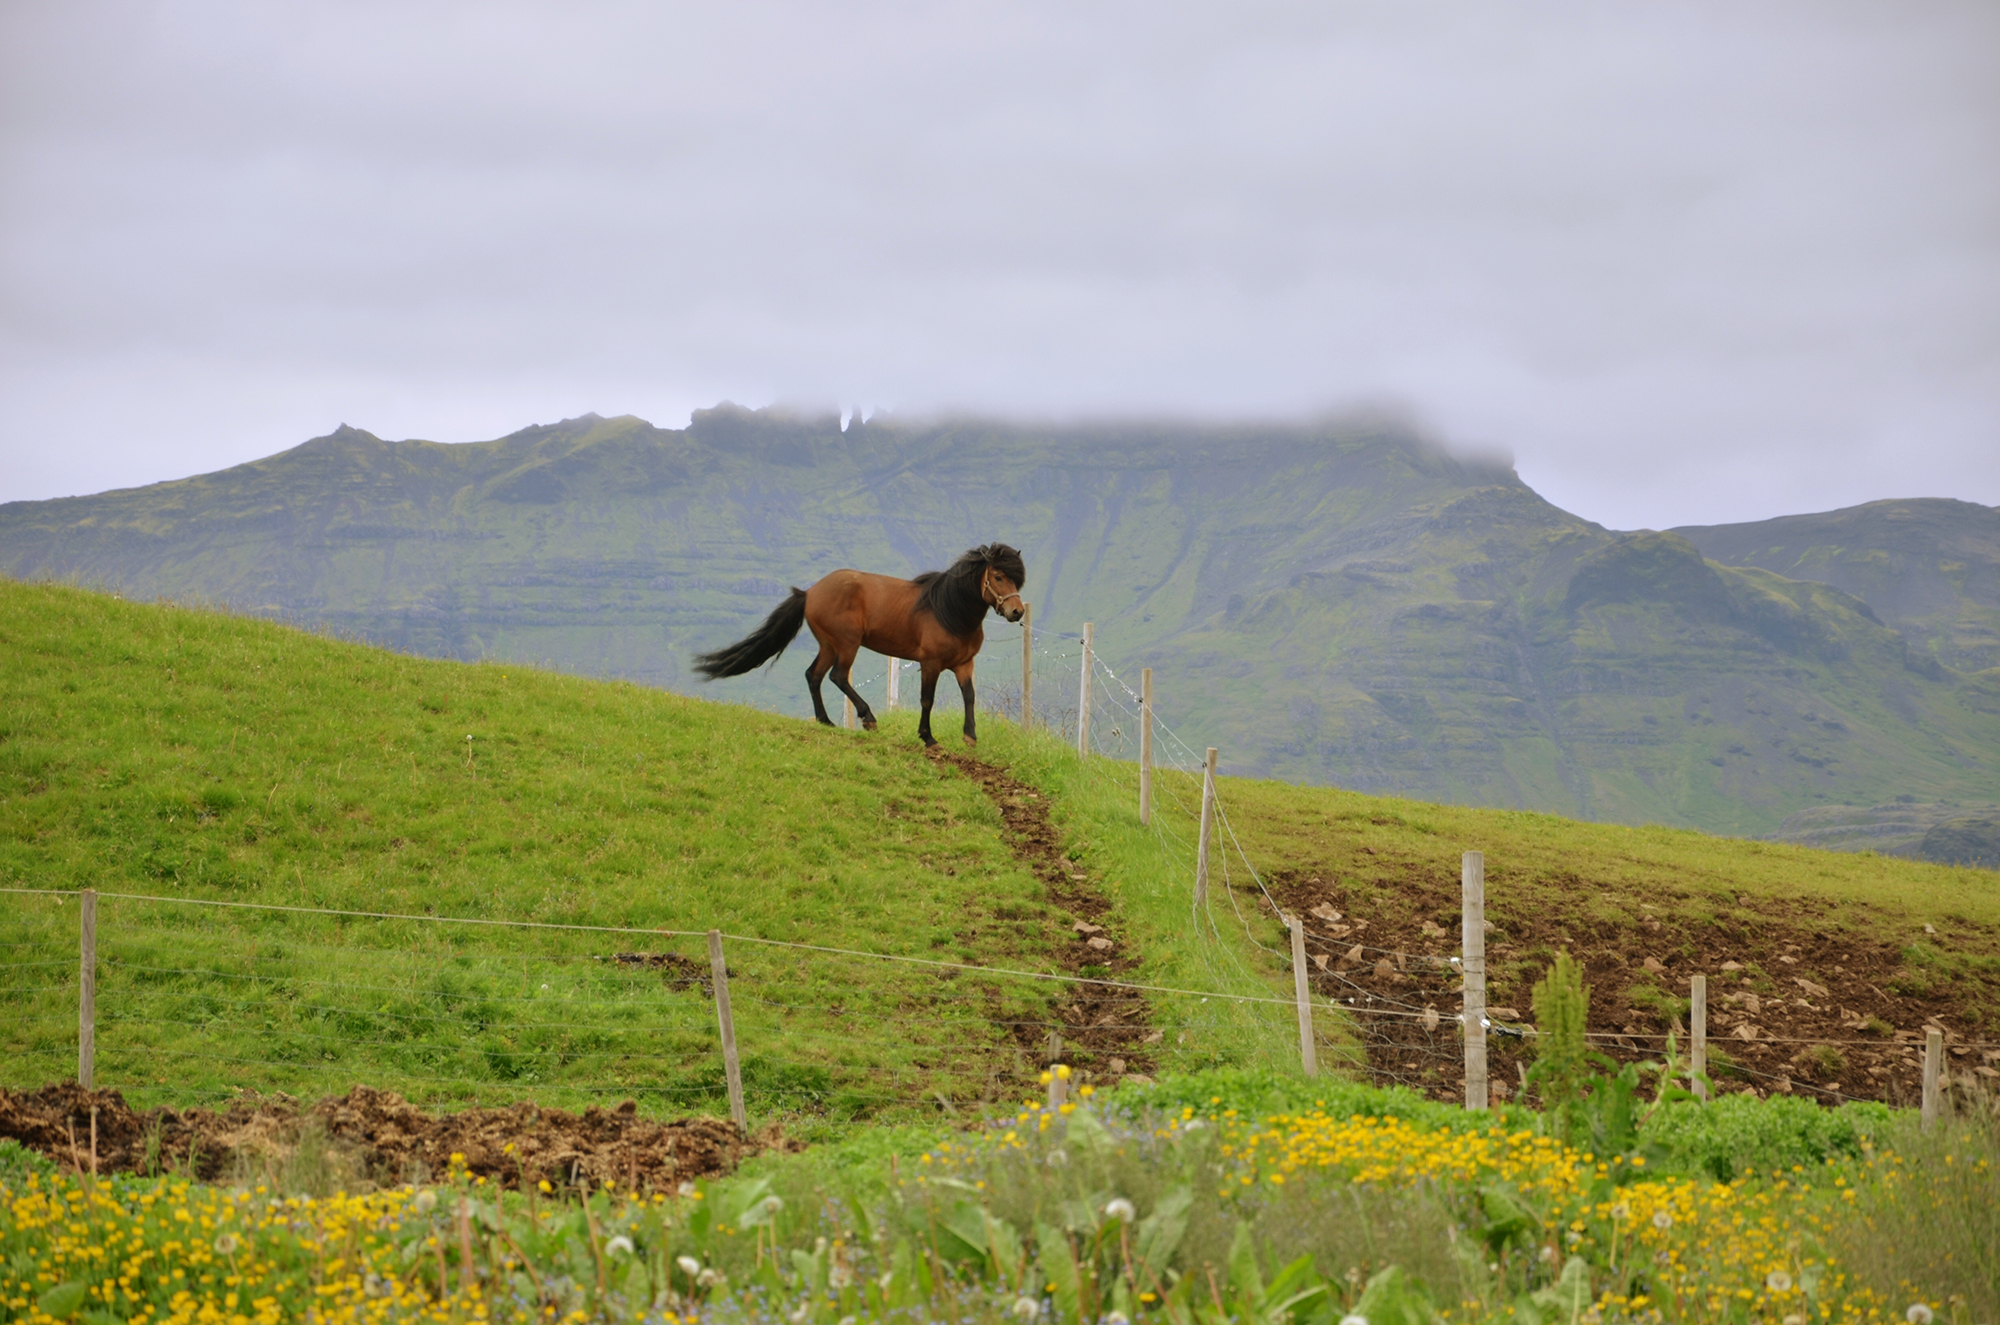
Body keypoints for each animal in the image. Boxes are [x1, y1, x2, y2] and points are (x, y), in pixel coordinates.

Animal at [692, 544, 1032, 748]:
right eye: (998, 576)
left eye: (1017, 580)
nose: (1017, 612)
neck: (948, 611)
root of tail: (810, 592)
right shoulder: (931, 663)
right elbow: (927, 700)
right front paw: (928, 738)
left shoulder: (964, 664)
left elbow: (969, 697)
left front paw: (970, 736)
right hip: (847, 645)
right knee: (837, 677)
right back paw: (868, 718)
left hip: (829, 645)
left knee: (814, 676)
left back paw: (826, 721)